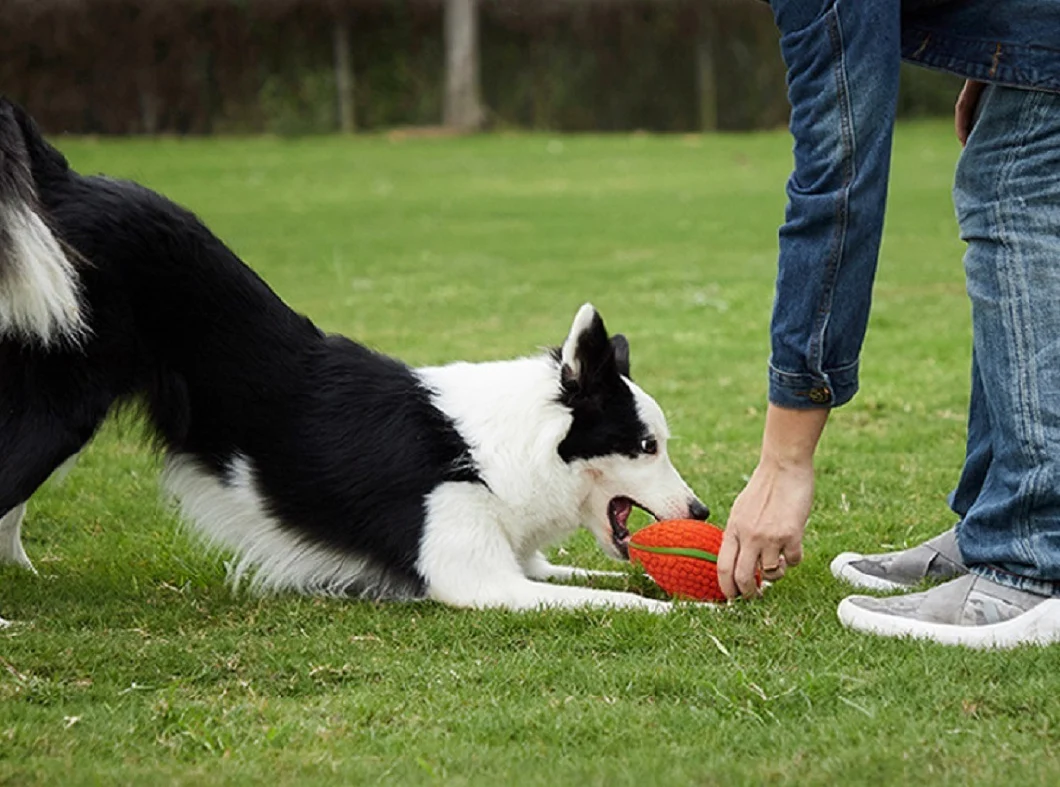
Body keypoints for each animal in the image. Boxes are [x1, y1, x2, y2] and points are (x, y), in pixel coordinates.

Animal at [0, 98, 712, 619]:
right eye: (646, 446)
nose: (703, 513)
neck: (501, 447)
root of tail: (61, 178)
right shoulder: (478, 579)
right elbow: (624, 599)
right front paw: (692, 611)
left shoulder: (521, 565)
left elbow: (609, 580)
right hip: (57, 413)